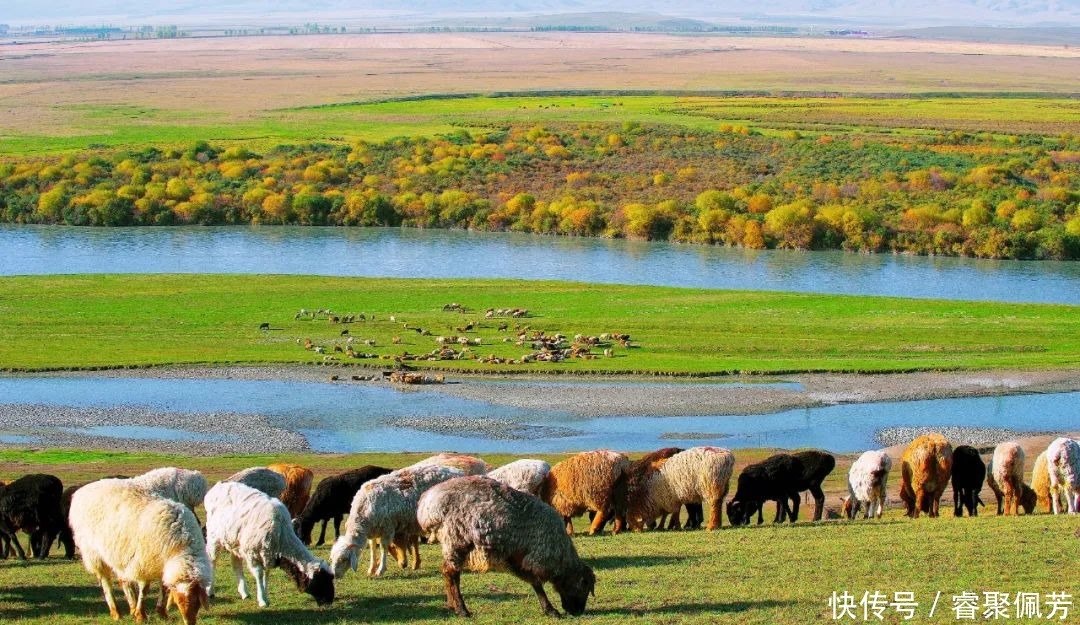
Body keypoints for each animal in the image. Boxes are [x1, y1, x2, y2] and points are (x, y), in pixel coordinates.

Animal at [69, 479, 212, 625]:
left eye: (197, 603)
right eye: (178, 601)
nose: (190, 623)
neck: (182, 545)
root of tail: (83, 490)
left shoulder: (161, 564)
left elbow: (164, 588)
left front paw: (161, 612)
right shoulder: (144, 562)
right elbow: (145, 589)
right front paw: (141, 615)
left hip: (120, 554)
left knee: (124, 580)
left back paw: (131, 606)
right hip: (94, 553)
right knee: (106, 582)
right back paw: (116, 613)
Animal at [203, 481, 332, 608]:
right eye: (321, 581)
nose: (329, 602)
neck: (282, 537)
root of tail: (218, 486)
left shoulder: (268, 554)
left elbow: (267, 574)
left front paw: (265, 596)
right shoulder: (253, 553)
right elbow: (259, 574)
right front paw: (262, 600)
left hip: (234, 542)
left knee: (236, 564)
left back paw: (244, 592)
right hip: (214, 538)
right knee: (212, 561)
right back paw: (210, 591)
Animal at [328, 466, 464, 578]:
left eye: (343, 559)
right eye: (332, 558)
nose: (334, 575)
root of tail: (459, 472)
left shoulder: (388, 528)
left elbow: (383, 548)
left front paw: (380, 570)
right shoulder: (373, 530)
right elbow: (372, 548)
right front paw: (371, 568)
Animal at [414, 477, 600, 617]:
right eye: (584, 587)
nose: (577, 612)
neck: (561, 555)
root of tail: (427, 505)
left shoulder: (517, 557)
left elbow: (533, 582)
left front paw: (548, 609)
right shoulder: (535, 556)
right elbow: (537, 582)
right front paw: (550, 609)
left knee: (448, 572)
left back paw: (453, 605)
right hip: (457, 537)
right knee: (451, 573)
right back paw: (462, 610)